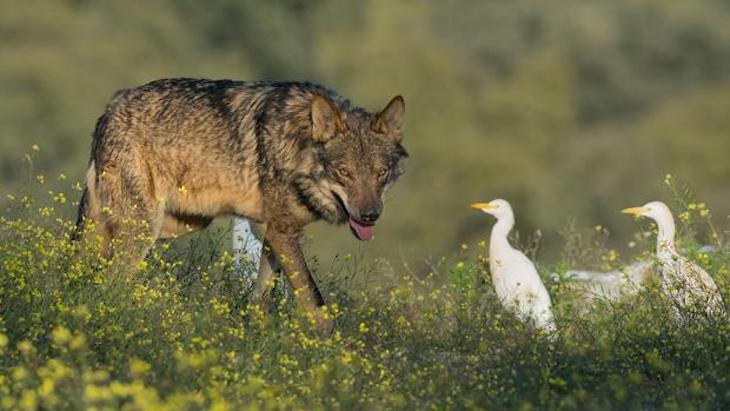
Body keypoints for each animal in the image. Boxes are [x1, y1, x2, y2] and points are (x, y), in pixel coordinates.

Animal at [75, 78, 407, 331]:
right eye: (345, 173)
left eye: (380, 173)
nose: (370, 215)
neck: (297, 144)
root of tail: (109, 109)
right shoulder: (283, 233)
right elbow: (315, 301)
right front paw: (332, 354)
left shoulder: (274, 233)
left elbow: (261, 296)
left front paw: (256, 335)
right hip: (145, 228)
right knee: (108, 281)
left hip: (175, 224)